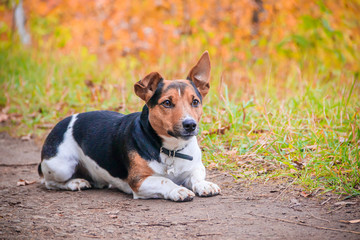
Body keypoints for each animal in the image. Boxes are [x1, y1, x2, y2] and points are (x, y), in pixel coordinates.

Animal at [38, 51, 219, 202]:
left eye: (195, 102)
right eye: (167, 103)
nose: (190, 125)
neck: (172, 150)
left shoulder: (195, 167)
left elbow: (196, 176)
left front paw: (204, 184)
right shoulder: (139, 181)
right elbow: (164, 180)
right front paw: (177, 190)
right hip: (61, 166)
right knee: (49, 182)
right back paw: (75, 182)